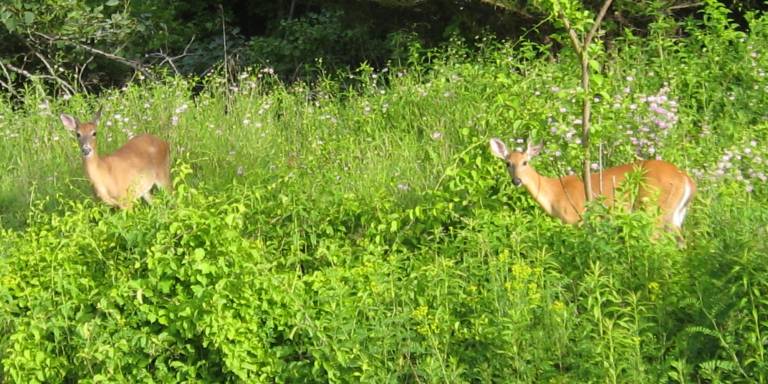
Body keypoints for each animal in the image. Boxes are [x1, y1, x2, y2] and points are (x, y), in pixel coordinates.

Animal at [492, 138, 696, 244]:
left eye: (525, 162)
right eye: (507, 163)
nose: (516, 180)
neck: (554, 193)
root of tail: (686, 179)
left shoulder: (576, 219)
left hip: (653, 209)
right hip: (676, 215)